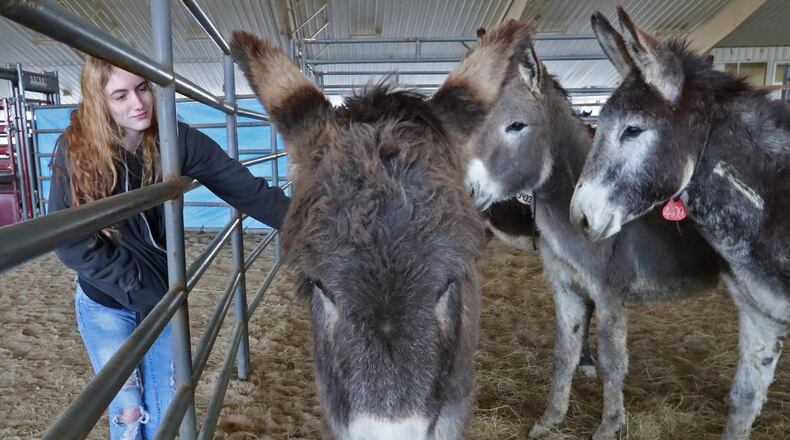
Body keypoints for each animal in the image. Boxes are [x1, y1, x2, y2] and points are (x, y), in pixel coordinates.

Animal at [465, 38, 722, 439]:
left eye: (517, 126)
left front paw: (609, 424)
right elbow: (564, 351)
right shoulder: (565, 286)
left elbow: (612, 360)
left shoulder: (610, 294)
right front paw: (550, 419)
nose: (466, 187)